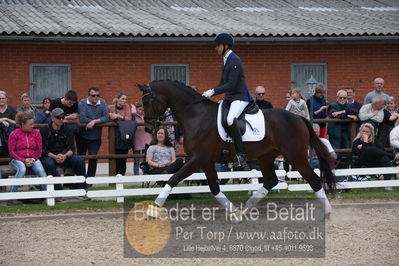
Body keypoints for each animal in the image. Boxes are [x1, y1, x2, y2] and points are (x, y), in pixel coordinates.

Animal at [139, 80, 336, 220]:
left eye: (149, 101)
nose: (148, 129)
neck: (195, 115)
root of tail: (299, 118)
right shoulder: (206, 161)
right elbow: (214, 187)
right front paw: (233, 213)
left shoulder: (198, 158)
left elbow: (173, 178)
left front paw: (153, 209)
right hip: (266, 156)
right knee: (271, 181)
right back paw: (245, 211)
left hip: (296, 156)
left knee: (314, 179)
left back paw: (327, 212)